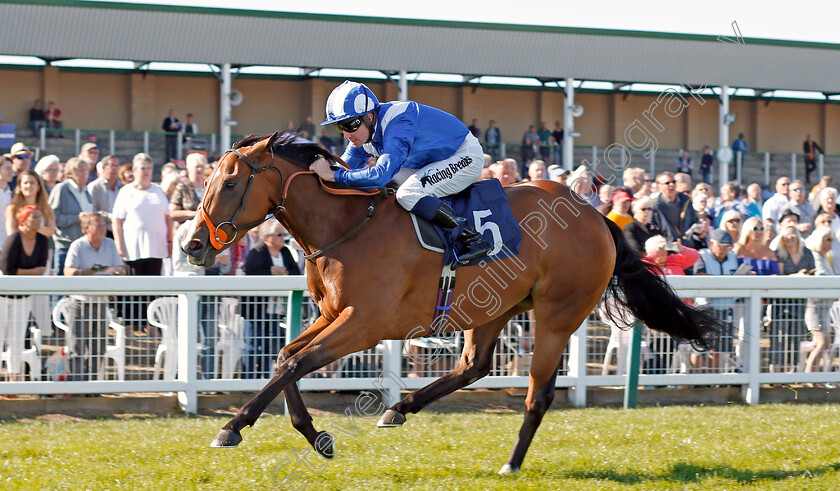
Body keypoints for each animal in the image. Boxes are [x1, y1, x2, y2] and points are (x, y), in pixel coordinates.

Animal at [184, 132, 720, 476]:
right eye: (205, 182)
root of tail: (596, 216)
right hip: (494, 309)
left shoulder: (365, 323)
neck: (345, 225)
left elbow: (295, 362)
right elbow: (285, 358)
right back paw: (399, 409)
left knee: (537, 395)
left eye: (229, 184)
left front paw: (232, 427)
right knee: (474, 366)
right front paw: (316, 435)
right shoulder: (334, 315)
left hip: (555, 315)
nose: (192, 245)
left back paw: (510, 463)